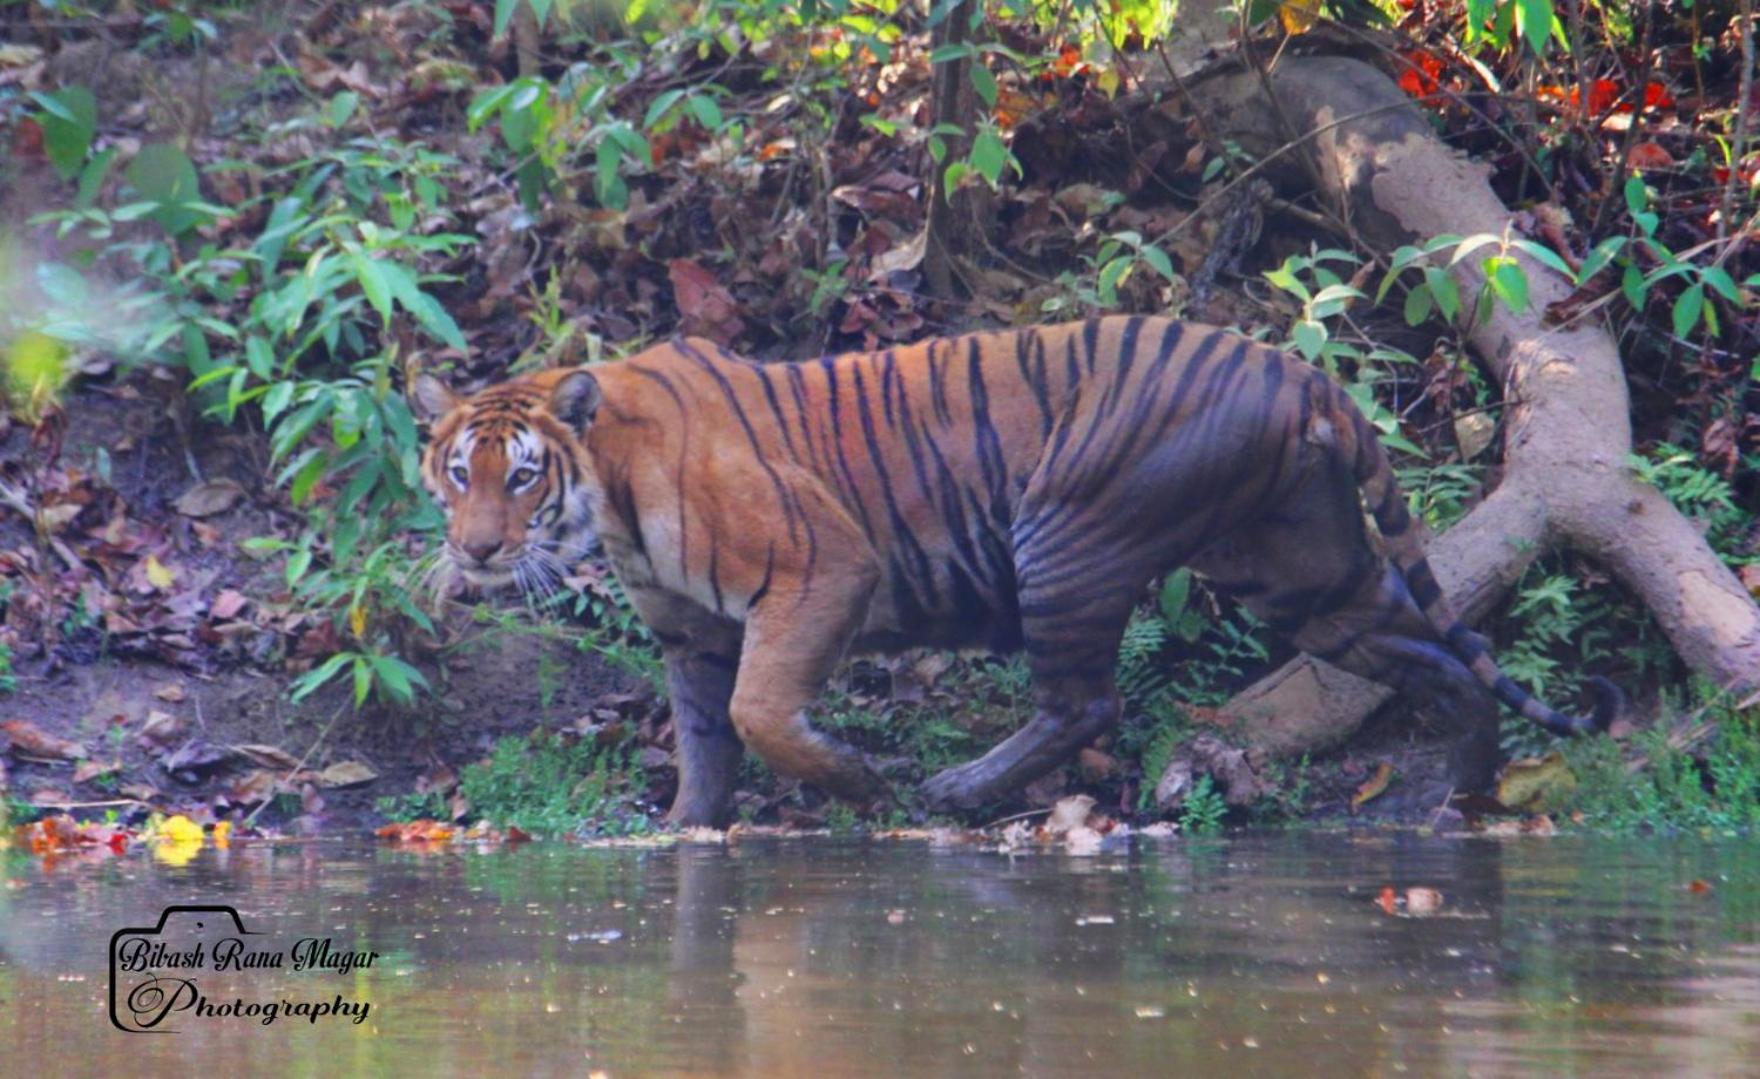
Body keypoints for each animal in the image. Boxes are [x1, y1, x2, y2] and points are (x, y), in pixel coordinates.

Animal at [408, 315, 1612, 820]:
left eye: (520, 477)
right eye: (455, 474)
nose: (473, 550)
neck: (607, 496)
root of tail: (1297, 372)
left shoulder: (820, 565)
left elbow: (760, 711)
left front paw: (859, 782)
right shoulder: (690, 633)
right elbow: (707, 745)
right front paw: (684, 838)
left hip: (1067, 533)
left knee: (1085, 699)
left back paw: (953, 792)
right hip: (1300, 571)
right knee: (1444, 655)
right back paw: (1464, 794)